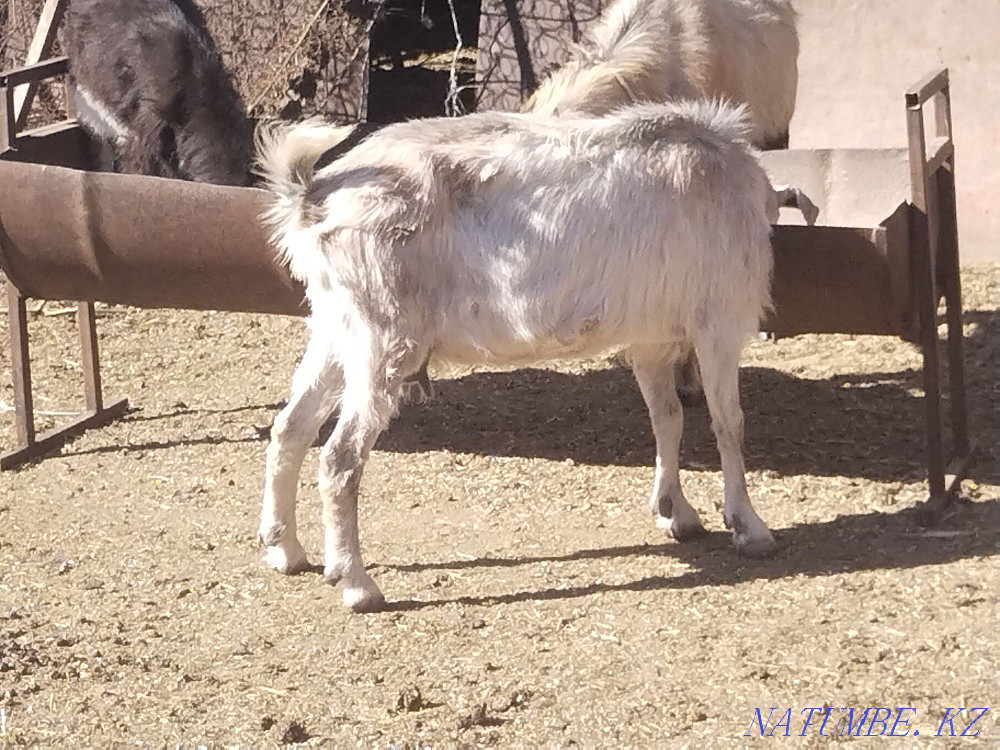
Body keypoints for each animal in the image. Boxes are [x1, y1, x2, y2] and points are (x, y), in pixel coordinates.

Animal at [255, 100, 782, 610]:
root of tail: (314, 195)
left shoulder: (650, 338)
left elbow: (667, 417)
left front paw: (676, 513)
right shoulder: (720, 322)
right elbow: (728, 423)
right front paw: (749, 526)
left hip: (337, 330)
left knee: (291, 427)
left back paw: (286, 550)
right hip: (382, 336)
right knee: (340, 457)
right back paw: (356, 584)